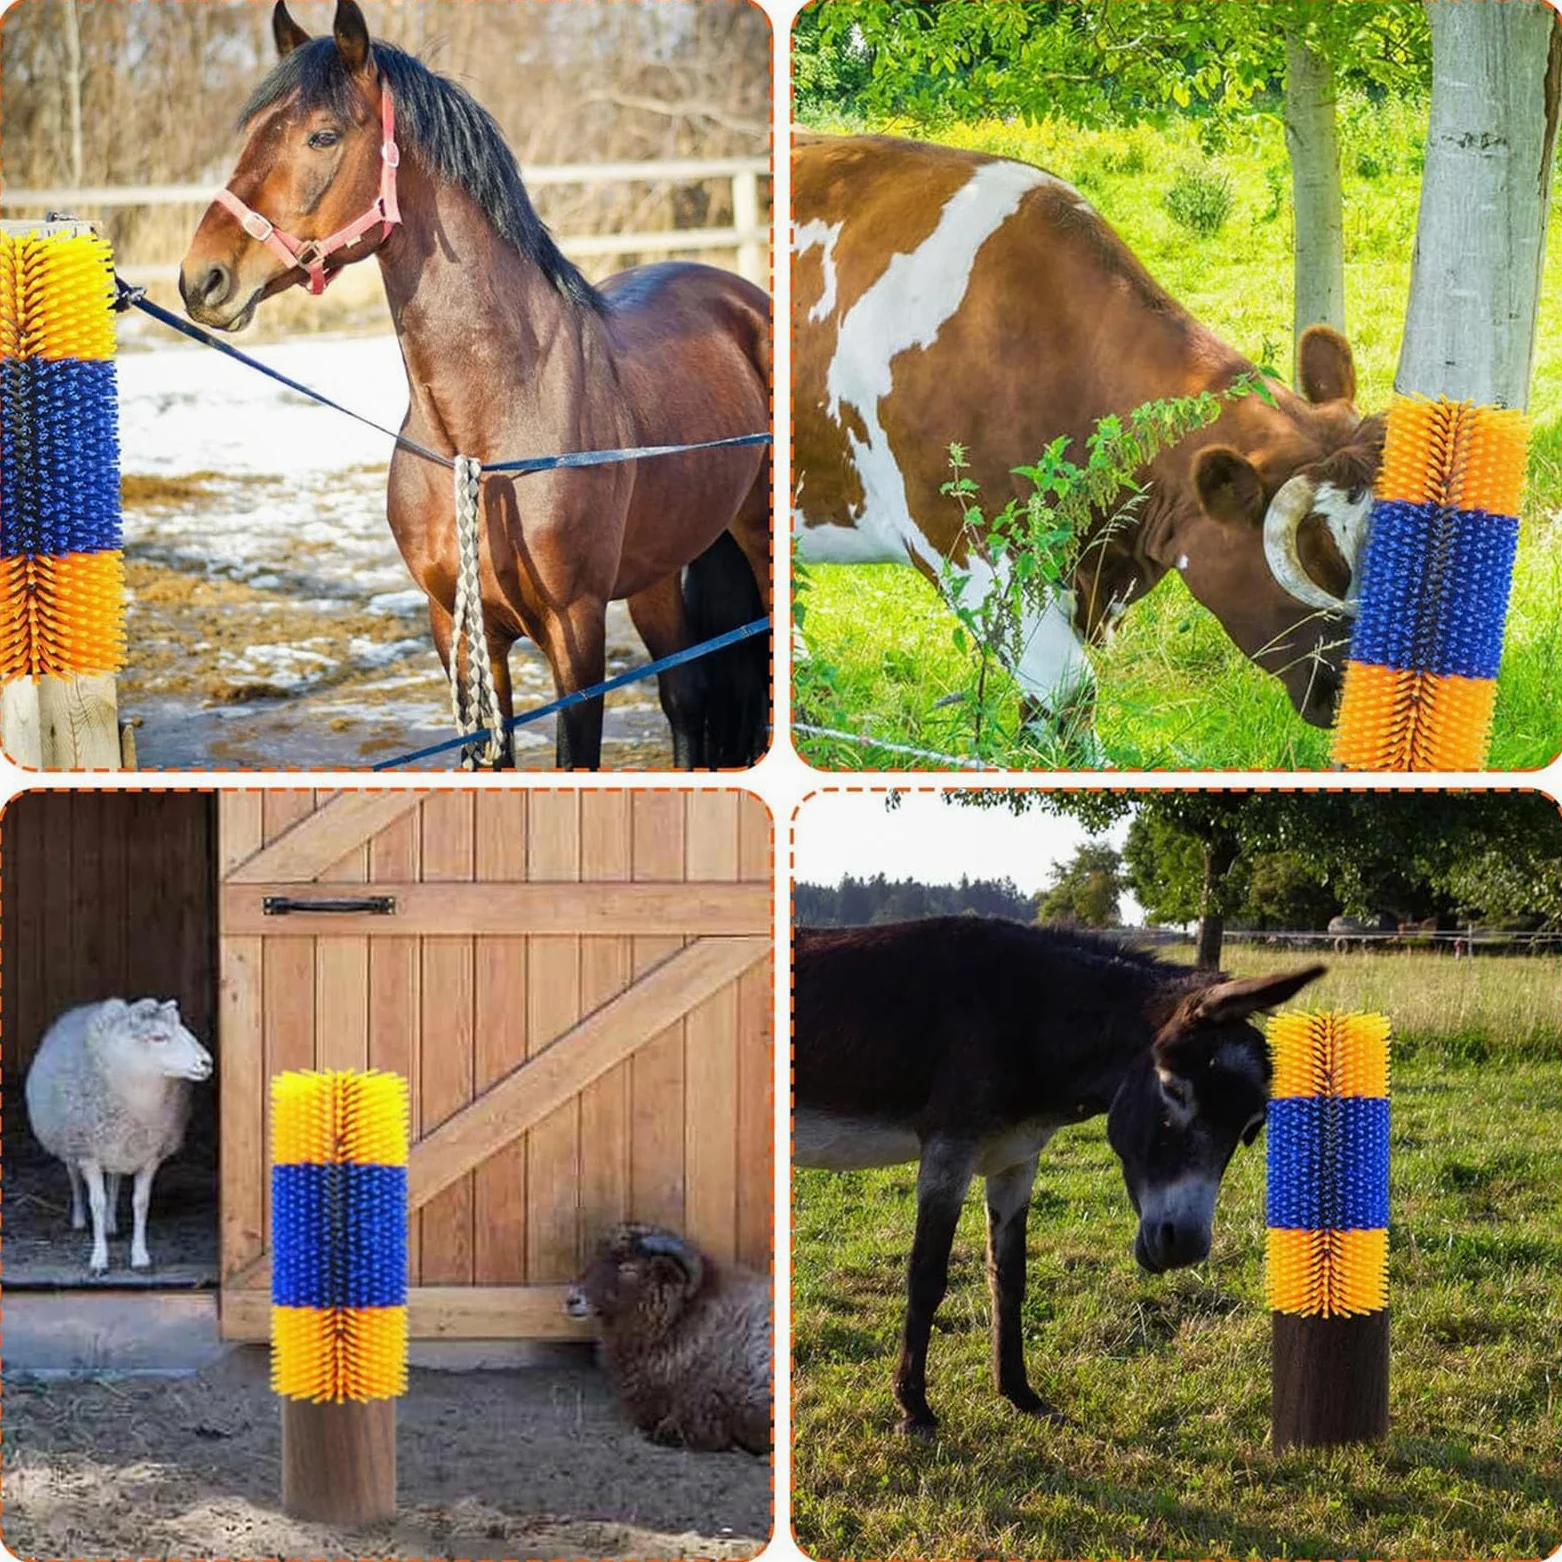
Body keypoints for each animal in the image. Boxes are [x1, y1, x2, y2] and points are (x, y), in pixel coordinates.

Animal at [179, 0, 770, 769]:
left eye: (323, 135)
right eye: (252, 132)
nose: (202, 279)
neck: (485, 432)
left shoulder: (576, 631)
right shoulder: (459, 632)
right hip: (659, 571)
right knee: (686, 698)